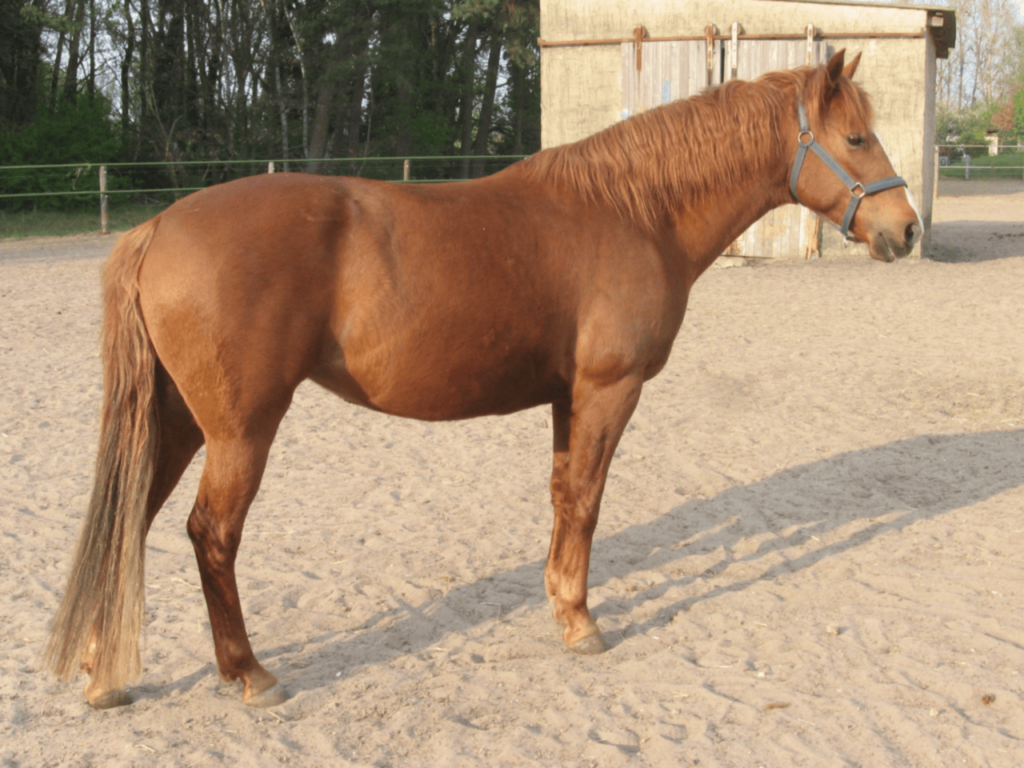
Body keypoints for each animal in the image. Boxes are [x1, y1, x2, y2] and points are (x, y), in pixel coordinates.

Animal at [45, 50, 921, 709]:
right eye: (855, 136)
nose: (906, 229)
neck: (635, 210)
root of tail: (160, 227)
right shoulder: (609, 390)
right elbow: (588, 501)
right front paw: (582, 622)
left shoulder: (571, 397)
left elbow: (564, 497)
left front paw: (560, 603)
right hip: (239, 430)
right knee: (211, 534)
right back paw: (248, 673)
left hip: (177, 421)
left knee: (127, 520)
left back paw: (101, 672)